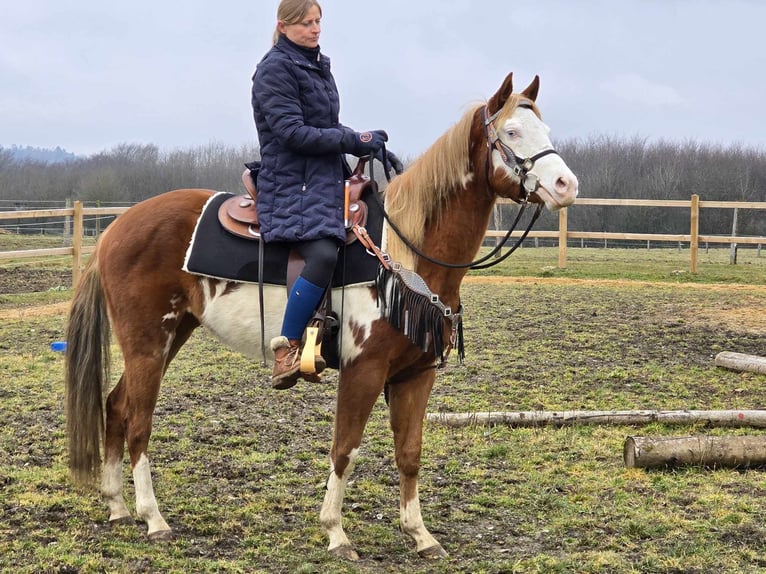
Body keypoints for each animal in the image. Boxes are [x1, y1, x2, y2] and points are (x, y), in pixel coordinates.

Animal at [66, 73, 580, 564]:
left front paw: (421, 536)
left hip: (169, 337)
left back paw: (117, 506)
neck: (404, 255)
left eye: (545, 129)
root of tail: (116, 227)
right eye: (511, 131)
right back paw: (153, 519)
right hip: (148, 342)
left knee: (115, 406)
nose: (566, 186)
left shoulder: (416, 374)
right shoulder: (363, 369)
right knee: (138, 421)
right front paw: (336, 533)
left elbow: (409, 453)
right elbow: (345, 448)